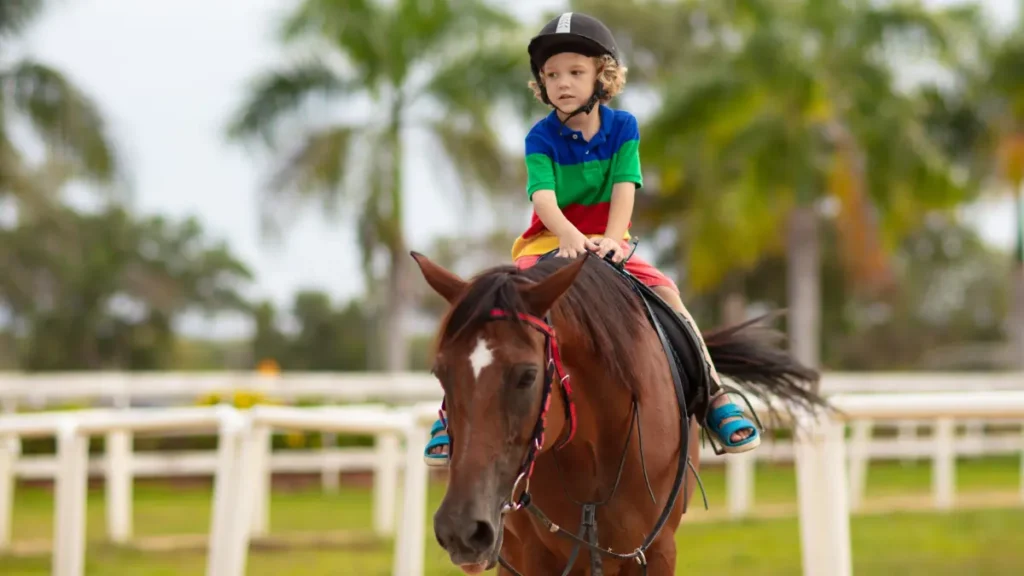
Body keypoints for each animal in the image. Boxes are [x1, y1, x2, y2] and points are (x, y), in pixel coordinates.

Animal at [411, 251, 827, 573]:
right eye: (440, 372)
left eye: (527, 375)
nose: (460, 529)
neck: (593, 450)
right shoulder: (536, 556)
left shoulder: (656, 551)